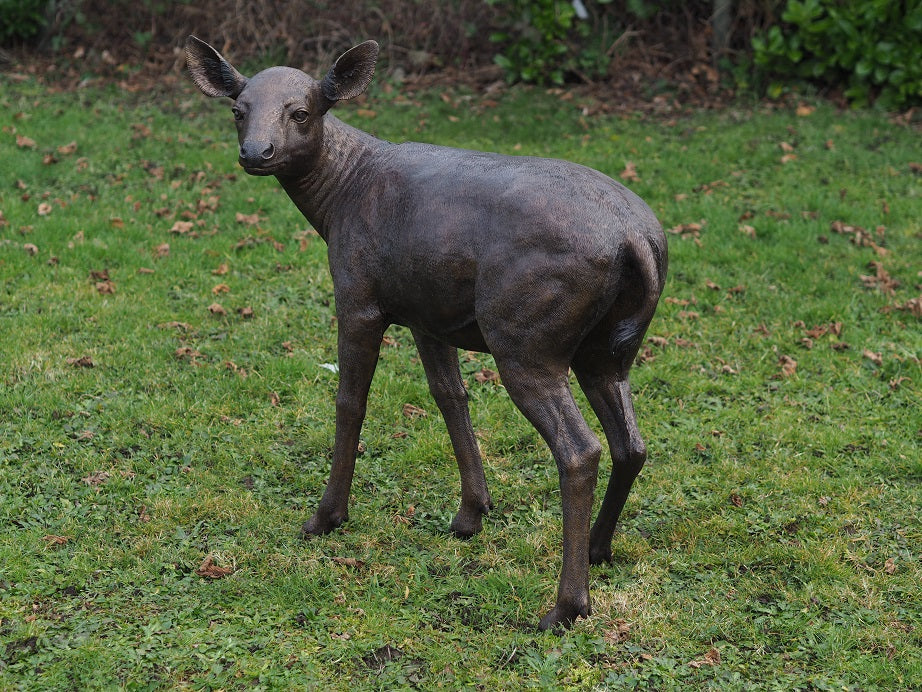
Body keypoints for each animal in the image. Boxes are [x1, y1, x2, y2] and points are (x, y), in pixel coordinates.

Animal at [185, 36, 667, 630]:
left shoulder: (360, 298)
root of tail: (636, 240)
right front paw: (472, 513)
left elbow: (350, 401)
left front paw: (327, 516)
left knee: (580, 451)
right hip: (609, 348)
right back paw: (599, 549)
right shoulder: (428, 314)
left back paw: (566, 606)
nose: (257, 153)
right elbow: (450, 396)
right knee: (631, 444)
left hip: (525, 335)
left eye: (302, 112)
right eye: (238, 110)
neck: (336, 201)